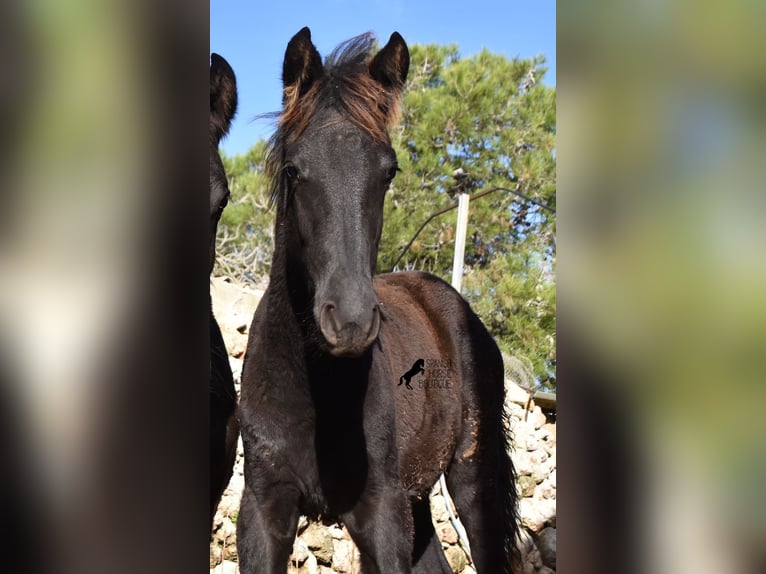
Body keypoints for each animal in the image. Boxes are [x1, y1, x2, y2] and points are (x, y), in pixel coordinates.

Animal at [237, 30, 520, 574]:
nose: (349, 321)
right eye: (294, 169)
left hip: (472, 478)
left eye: (388, 171)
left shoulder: (381, 514)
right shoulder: (263, 509)